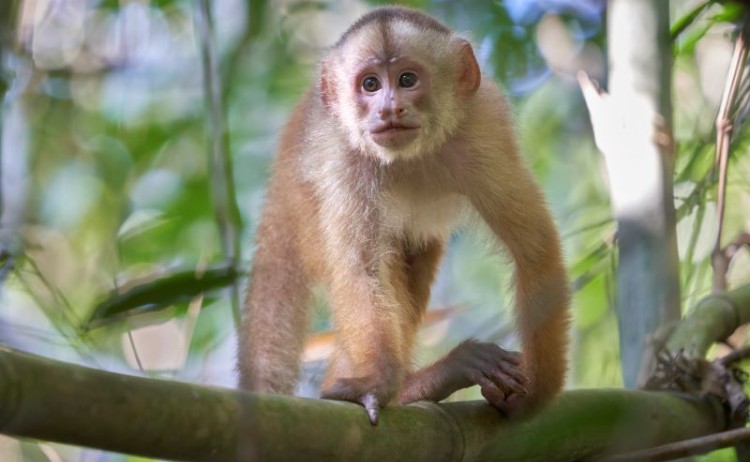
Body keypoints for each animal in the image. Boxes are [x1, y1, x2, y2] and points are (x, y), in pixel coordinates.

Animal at [238, 6, 571, 425]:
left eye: (407, 79)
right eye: (370, 84)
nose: (389, 109)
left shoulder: (484, 127)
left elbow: (535, 250)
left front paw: (538, 391)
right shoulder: (343, 157)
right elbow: (362, 270)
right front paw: (378, 382)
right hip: (304, 218)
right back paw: (420, 384)